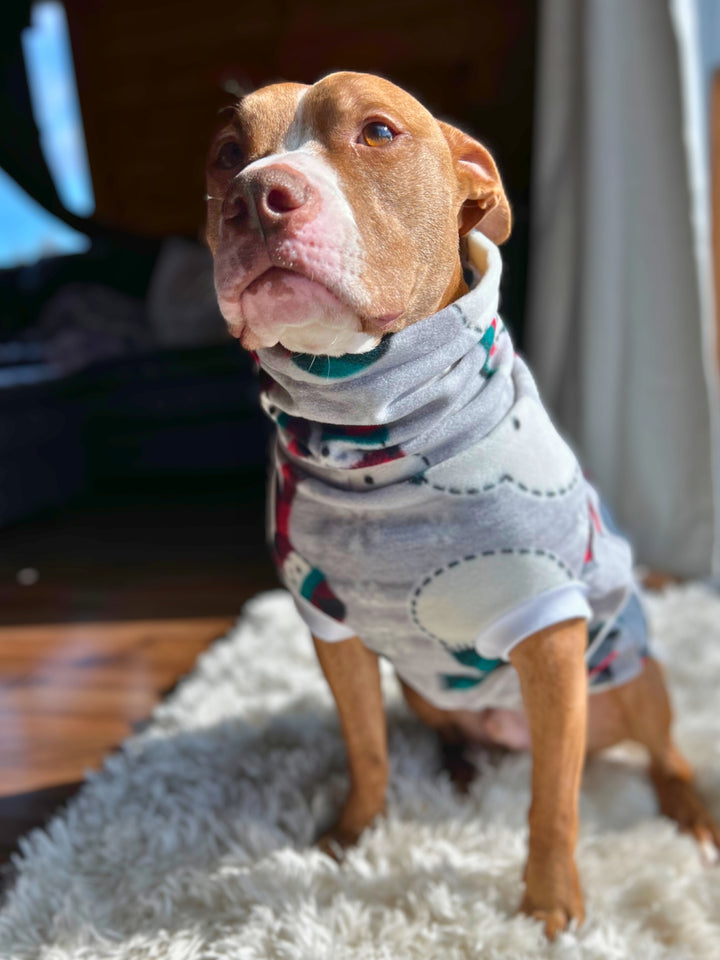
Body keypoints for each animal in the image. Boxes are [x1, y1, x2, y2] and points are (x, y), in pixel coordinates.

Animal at [204, 69, 720, 936]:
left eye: (377, 132)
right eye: (226, 153)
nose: (255, 195)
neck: (372, 432)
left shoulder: (549, 635)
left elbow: (554, 803)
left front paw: (549, 908)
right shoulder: (332, 629)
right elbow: (367, 749)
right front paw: (351, 838)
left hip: (631, 679)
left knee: (664, 753)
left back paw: (690, 815)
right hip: (424, 685)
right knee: (446, 727)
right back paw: (461, 768)